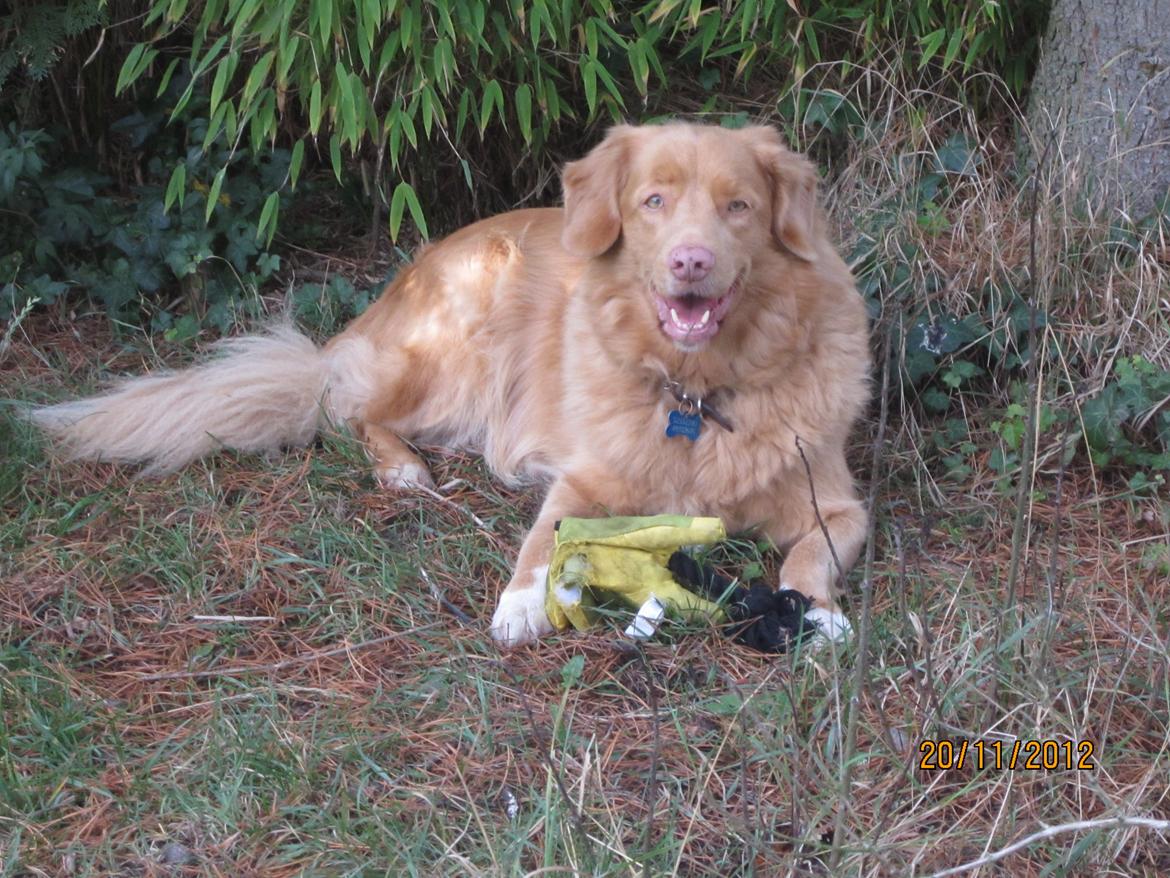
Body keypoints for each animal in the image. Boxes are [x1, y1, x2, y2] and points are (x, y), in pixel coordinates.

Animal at [27, 122, 875, 646]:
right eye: (653, 201)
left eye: (738, 207)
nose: (690, 261)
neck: (693, 390)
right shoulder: (582, 480)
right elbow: (544, 536)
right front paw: (523, 603)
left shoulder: (836, 504)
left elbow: (807, 558)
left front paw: (815, 614)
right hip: (460, 338)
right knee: (351, 412)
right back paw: (403, 468)